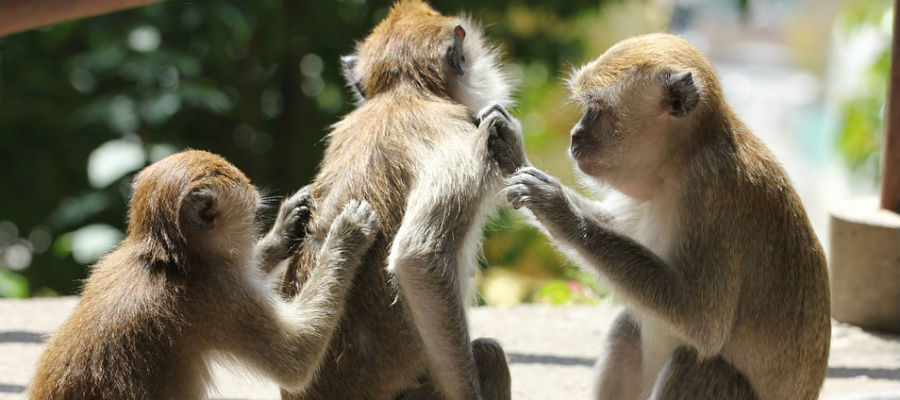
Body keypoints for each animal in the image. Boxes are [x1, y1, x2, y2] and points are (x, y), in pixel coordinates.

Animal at [30, 150, 376, 400]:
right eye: (252, 215)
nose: (256, 228)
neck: (169, 258)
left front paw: (285, 230)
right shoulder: (216, 294)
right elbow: (296, 356)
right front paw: (346, 237)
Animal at [488, 32, 832, 398]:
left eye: (598, 108)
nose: (575, 135)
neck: (682, 159)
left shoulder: (710, 194)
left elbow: (703, 323)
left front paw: (560, 211)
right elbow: (616, 226)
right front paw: (513, 154)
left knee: (698, 365)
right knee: (628, 325)